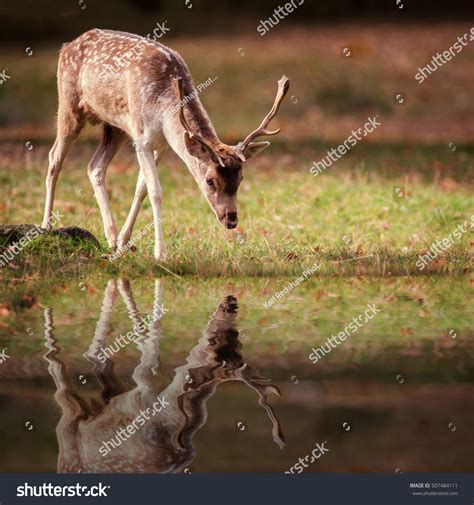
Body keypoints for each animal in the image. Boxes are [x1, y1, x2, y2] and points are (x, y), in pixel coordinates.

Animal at [43, 29, 288, 260]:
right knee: (54, 158)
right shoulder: (141, 139)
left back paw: (111, 236)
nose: (231, 220)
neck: (163, 109)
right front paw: (160, 253)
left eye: (241, 178)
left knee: (94, 166)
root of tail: (67, 46)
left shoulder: (161, 144)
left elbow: (141, 189)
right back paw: (46, 226)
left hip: (115, 127)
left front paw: (124, 241)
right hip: (69, 104)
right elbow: (155, 192)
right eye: (209, 180)